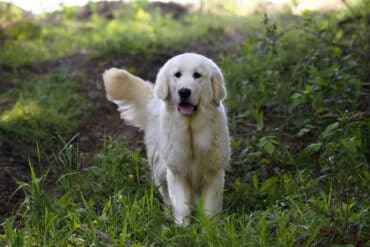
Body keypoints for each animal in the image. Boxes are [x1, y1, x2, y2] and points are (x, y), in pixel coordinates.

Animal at [102, 52, 230, 226]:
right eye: (177, 74)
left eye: (197, 75)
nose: (184, 91)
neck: (190, 130)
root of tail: (153, 101)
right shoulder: (177, 172)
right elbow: (181, 206)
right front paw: (182, 228)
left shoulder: (213, 173)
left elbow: (210, 209)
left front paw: (210, 228)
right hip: (160, 168)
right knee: (166, 195)